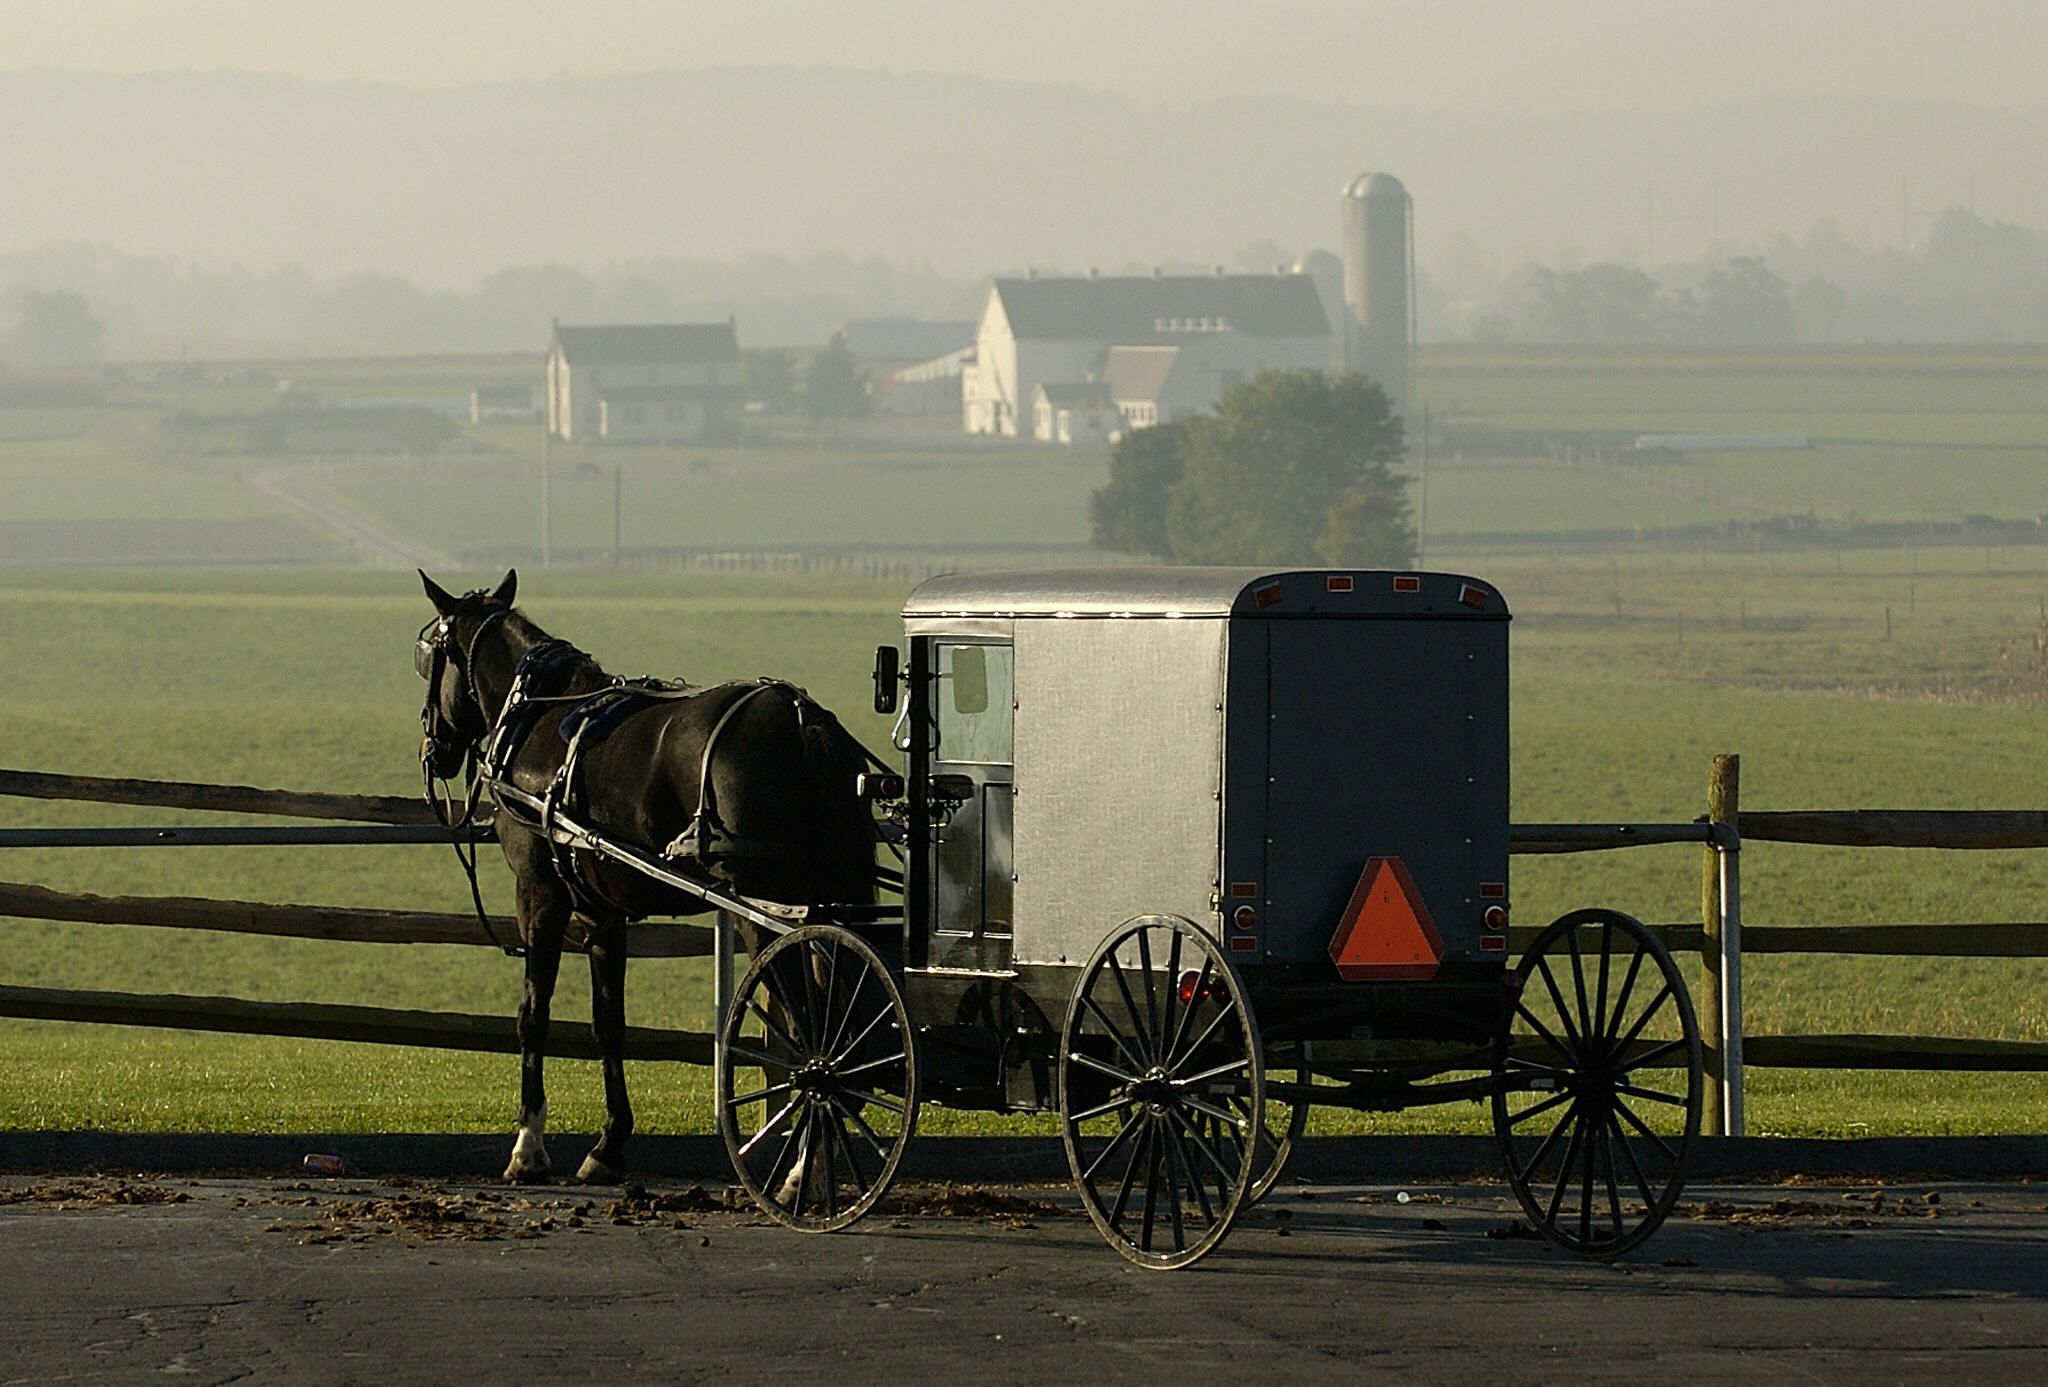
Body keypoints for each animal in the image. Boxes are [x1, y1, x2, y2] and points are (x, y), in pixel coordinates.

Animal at [415, 569, 880, 1188]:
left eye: (429, 658)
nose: (434, 749)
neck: (537, 719)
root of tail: (806, 725)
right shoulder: (601, 911)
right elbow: (607, 1024)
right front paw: (609, 1144)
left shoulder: (539, 895)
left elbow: (533, 1015)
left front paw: (528, 1147)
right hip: (826, 898)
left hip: (768, 905)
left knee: (807, 1029)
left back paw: (802, 1164)